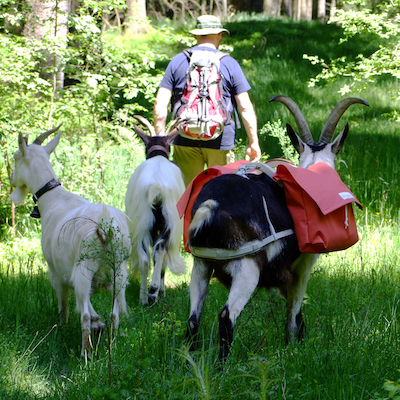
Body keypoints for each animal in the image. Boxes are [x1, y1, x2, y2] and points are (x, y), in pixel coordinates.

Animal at [9, 126, 130, 358]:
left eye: (15, 157)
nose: (11, 178)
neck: (54, 199)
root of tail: (105, 227)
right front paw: (98, 323)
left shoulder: (57, 272)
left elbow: (64, 305)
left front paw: (62, 330)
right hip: (118, 271)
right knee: (114, 314)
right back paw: (114, 345)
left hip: (85, 268)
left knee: (83, 316)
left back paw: (86, 354)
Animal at [125, 117, 188, 304]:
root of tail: (156, 187)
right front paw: (161, 290)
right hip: (168, 223)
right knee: (160, 252)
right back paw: (154, 290)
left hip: (142, 222)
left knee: (145, 257)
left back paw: (144, 298)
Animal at [186, 96, 368, 360]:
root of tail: (211, 206)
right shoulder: (303, 265)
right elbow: (294, 310)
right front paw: (294, 347)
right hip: (247, 268)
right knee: (226, 317)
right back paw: (223, 365)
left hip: (201, 265)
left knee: (193, 319)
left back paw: (188, 361)